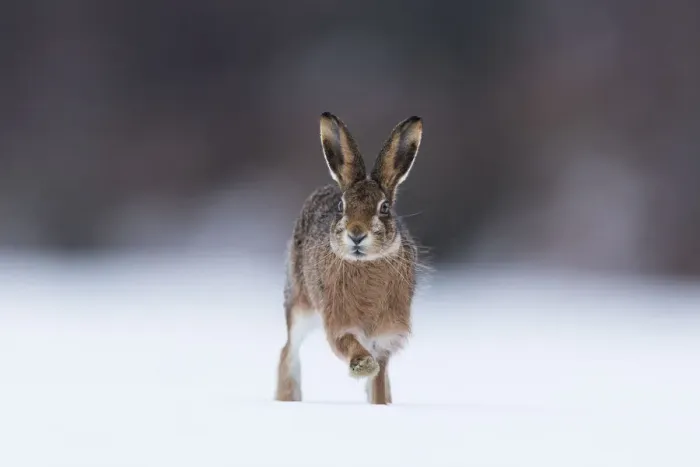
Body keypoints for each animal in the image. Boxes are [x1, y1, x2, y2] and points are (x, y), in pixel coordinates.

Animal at [275, 112, 423, 405]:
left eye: (384, 208)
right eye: (342, 207)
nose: (356, 234)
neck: (366, 265)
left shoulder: (386, 337)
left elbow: (379, 380)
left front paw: (380, 402)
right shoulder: (338, 322)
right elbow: (347, 344)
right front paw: (362, 365)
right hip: (299, 303)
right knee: (288, 350)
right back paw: (288, 398)